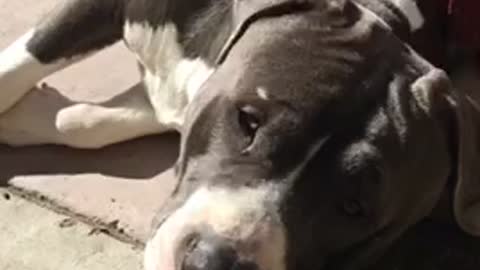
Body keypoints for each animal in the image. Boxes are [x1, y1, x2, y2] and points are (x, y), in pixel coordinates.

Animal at [0, 0, 480, 270]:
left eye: (353, 207)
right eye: (248, 119)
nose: (210, 263)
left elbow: (92, 122)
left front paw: (25, 117)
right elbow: (18, 66)